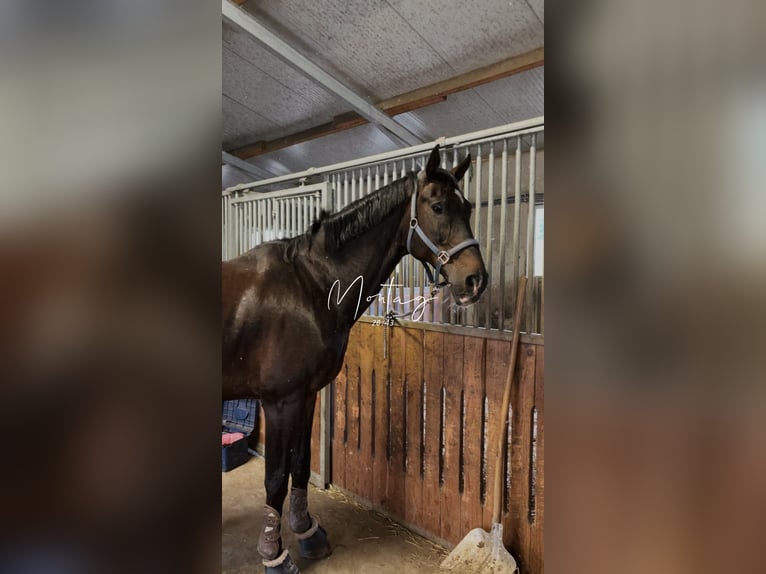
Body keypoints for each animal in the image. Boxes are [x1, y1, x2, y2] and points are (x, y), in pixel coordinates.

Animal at [222, 145, 487, 573]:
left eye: (467, 207)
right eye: (438, 206)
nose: (476, 281)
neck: (310, 286)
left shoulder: (307, 395)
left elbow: (301, 464)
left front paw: (307, 533)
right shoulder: (279, 402)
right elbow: (275, 477)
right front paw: (274, 555)